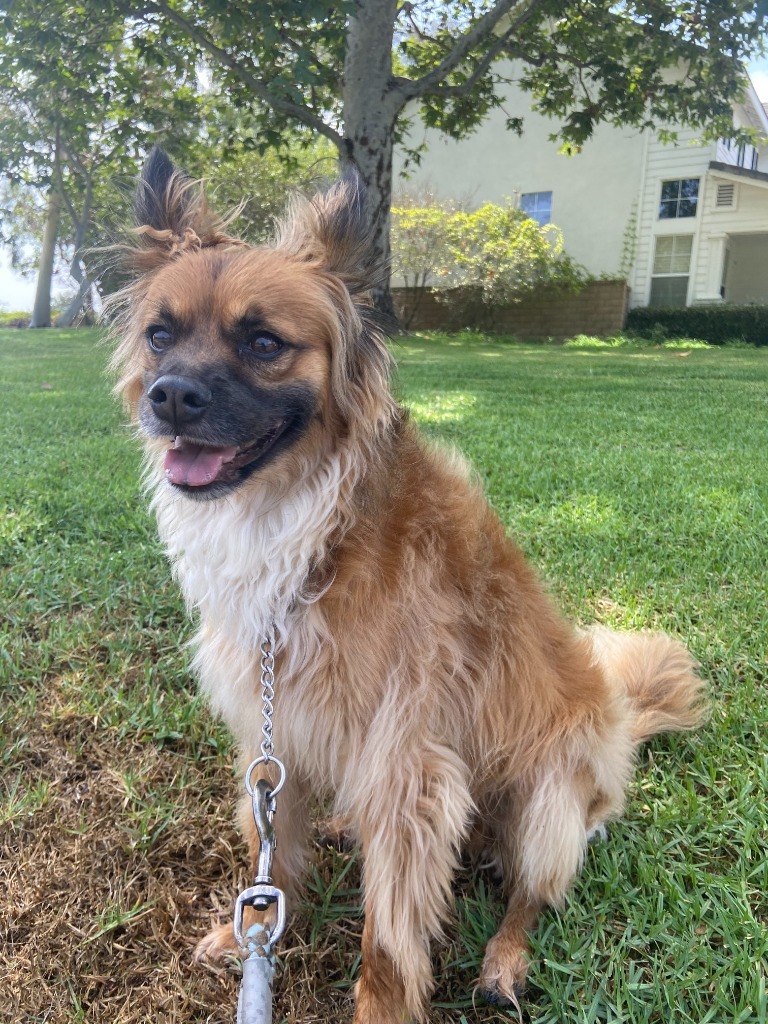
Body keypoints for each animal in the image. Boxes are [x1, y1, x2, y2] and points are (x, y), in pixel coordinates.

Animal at [109, 146, 708, 1024]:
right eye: (161, 335)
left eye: (264, 342)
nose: (171, 398)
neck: (315, 521)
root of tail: (621, 729)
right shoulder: (273, 721)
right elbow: (274, 848)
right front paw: (251, 933)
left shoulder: (408, 765)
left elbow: (390, 934)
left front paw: (381, 1006)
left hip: (549, 802)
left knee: (531, 895)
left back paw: (503, 960)